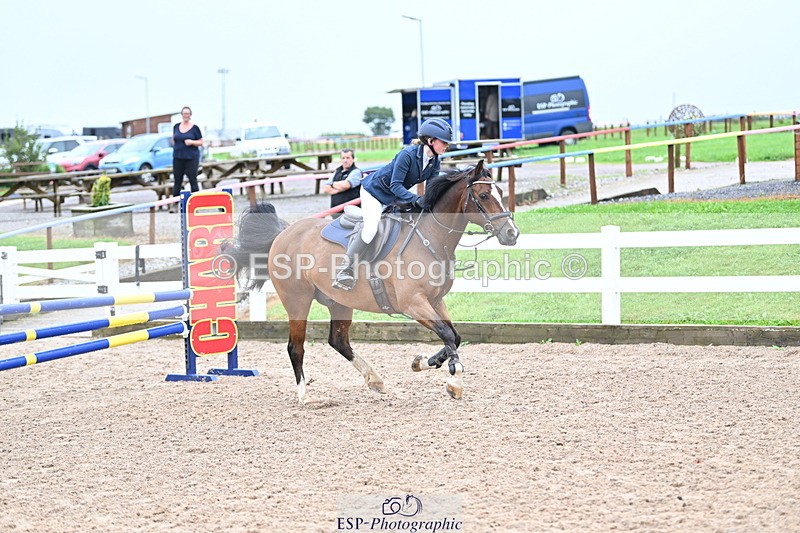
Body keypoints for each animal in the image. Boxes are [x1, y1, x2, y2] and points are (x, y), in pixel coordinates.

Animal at [225, 161, 519, 404]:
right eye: (483, 196)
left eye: (499, 193)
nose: (512, 234)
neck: (429, 238)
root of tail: (283, 233)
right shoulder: (414, 304)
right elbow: (447, 335)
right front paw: (453, 380)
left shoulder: (435, 301)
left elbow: (454, 337)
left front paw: (423, 362)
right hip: (298, 301)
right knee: (295, 347)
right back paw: (304, 396)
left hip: (339, 302)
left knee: (338, 341)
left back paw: (375, 380)